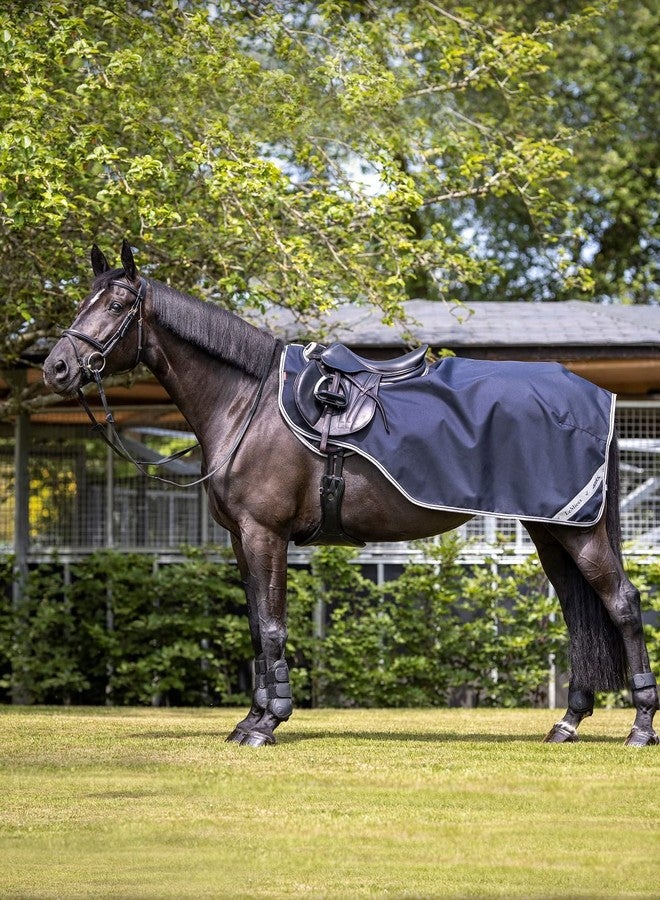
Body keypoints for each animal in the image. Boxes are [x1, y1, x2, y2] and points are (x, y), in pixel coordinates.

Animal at [42, 241, 658, 747]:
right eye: (81, 302)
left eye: (116, 306)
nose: (57, 367)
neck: (248, 404)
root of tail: (594, 394)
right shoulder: (242, 539)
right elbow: (256, 624)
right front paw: (250, 718)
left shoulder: (265, 534)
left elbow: (272, 624)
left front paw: (267, 724)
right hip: (552, 531)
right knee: (578, 611)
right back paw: (568, 723)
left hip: (577, 533)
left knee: (623, 604)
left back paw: (639, 728)